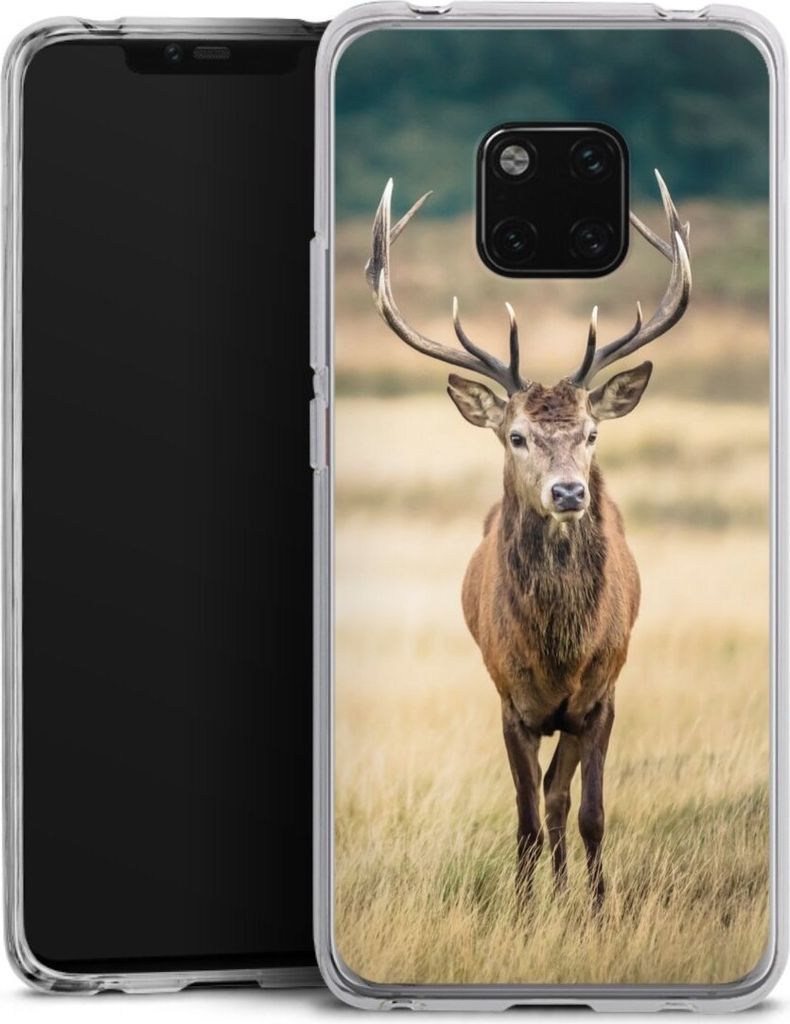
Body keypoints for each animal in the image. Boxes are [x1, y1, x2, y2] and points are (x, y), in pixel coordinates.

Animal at [365, 172, 691, 907]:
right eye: (516, 436)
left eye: (593, 433)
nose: (568, 492)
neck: (558, 653)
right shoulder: (509, 701)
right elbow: (523, 820)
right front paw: (521, 909)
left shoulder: (601, 697)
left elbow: (589, 811)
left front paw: (598, 910)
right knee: (543, 801)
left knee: (560, 797)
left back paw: (569, 891)